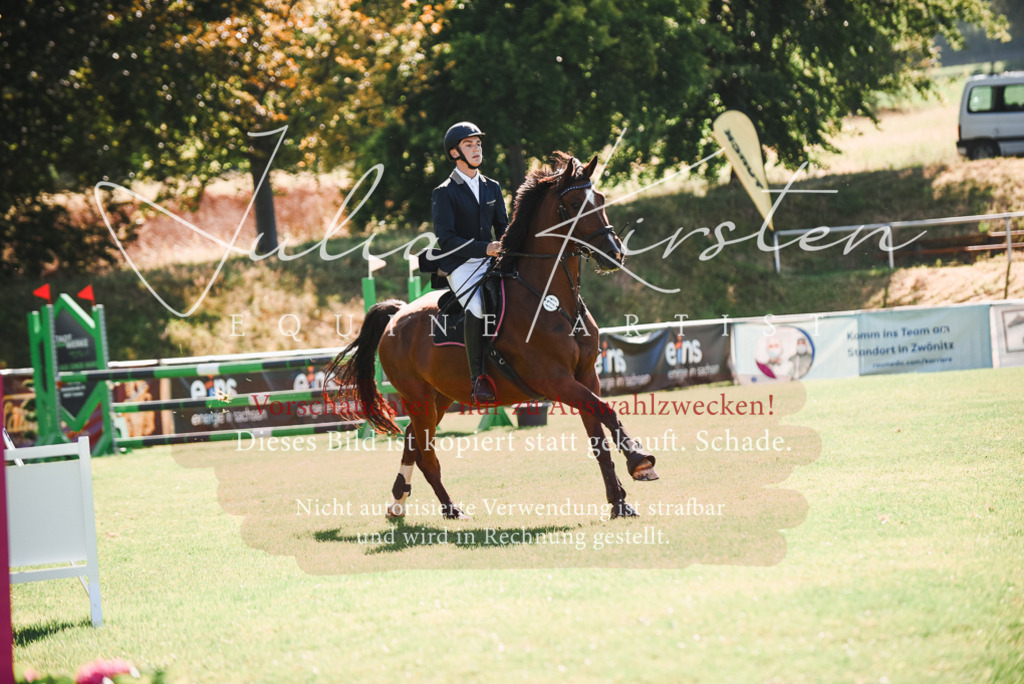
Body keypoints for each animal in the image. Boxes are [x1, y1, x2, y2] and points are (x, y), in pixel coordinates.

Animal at [324, 152, 658, 520]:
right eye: (573, 204)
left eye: (599, 199)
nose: (614, 254)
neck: (550, 299)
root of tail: (397, 315)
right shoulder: (556, 379)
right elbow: (607, 411)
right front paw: (640, 460)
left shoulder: (586, 375)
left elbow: (599, 438)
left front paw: (620, 502)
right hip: (419, 398)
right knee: (426, 454)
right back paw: (451, 509)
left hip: (441, 396)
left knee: (414, 442)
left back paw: (398, 503)